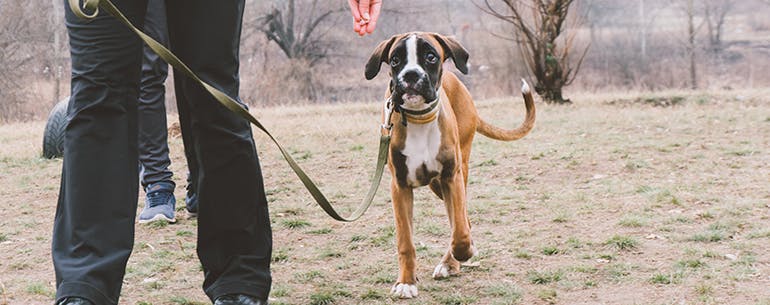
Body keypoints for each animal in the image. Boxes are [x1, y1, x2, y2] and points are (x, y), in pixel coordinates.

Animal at [364, 32, 536, 298]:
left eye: (431, 57)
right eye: (395, 60)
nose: (410, 75)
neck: (419, 118)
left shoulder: (451, 178)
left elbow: (460, 229)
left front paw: (463, 253)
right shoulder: (400, 187)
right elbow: (406, 241)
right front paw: (406, 281)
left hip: (455, 175)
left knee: (463, 220)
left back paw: (451, 262)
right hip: (437, 186)